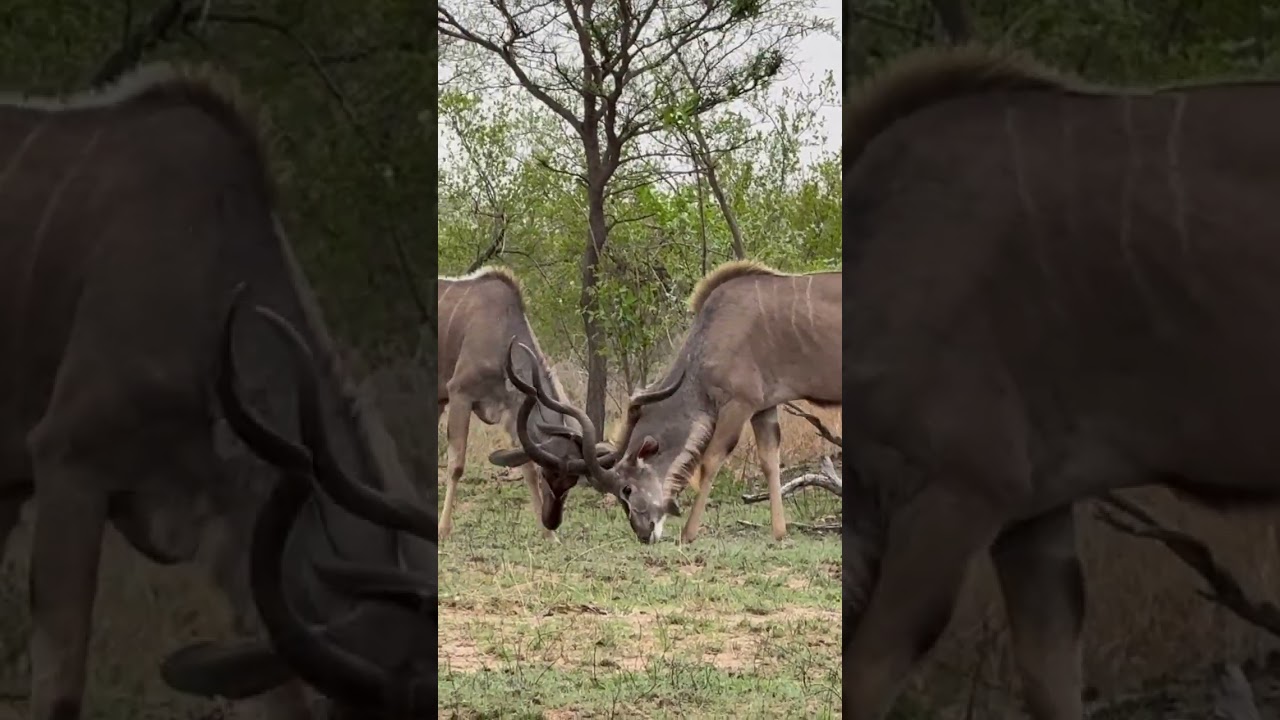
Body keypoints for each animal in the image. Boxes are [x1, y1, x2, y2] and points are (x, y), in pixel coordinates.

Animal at [503, 260, 842, 544]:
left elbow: (711, 460)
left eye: (627, 488)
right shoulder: (764, 407)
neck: (705, 344)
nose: (644, 534)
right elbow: (770, 460)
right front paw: (780, 533)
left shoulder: (738, 403)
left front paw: (688, 534)